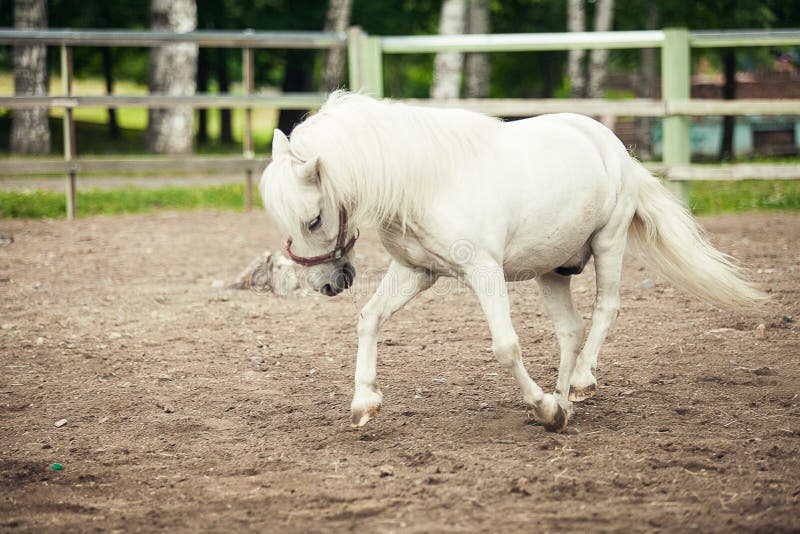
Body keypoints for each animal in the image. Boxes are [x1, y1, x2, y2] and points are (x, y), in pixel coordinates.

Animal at [259, 91, 763, 432]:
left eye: (314, 218)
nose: (326, 283)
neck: (426, 182)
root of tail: (608, 141)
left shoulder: (485, 272)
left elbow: (506, 346)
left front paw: (543, 409)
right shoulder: (416, 272)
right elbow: (369, 318)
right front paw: (364, 403)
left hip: (610, 242)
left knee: (606, 309)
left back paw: (579, 385)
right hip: (553, 270)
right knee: (570, 329)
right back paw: (566, 400)